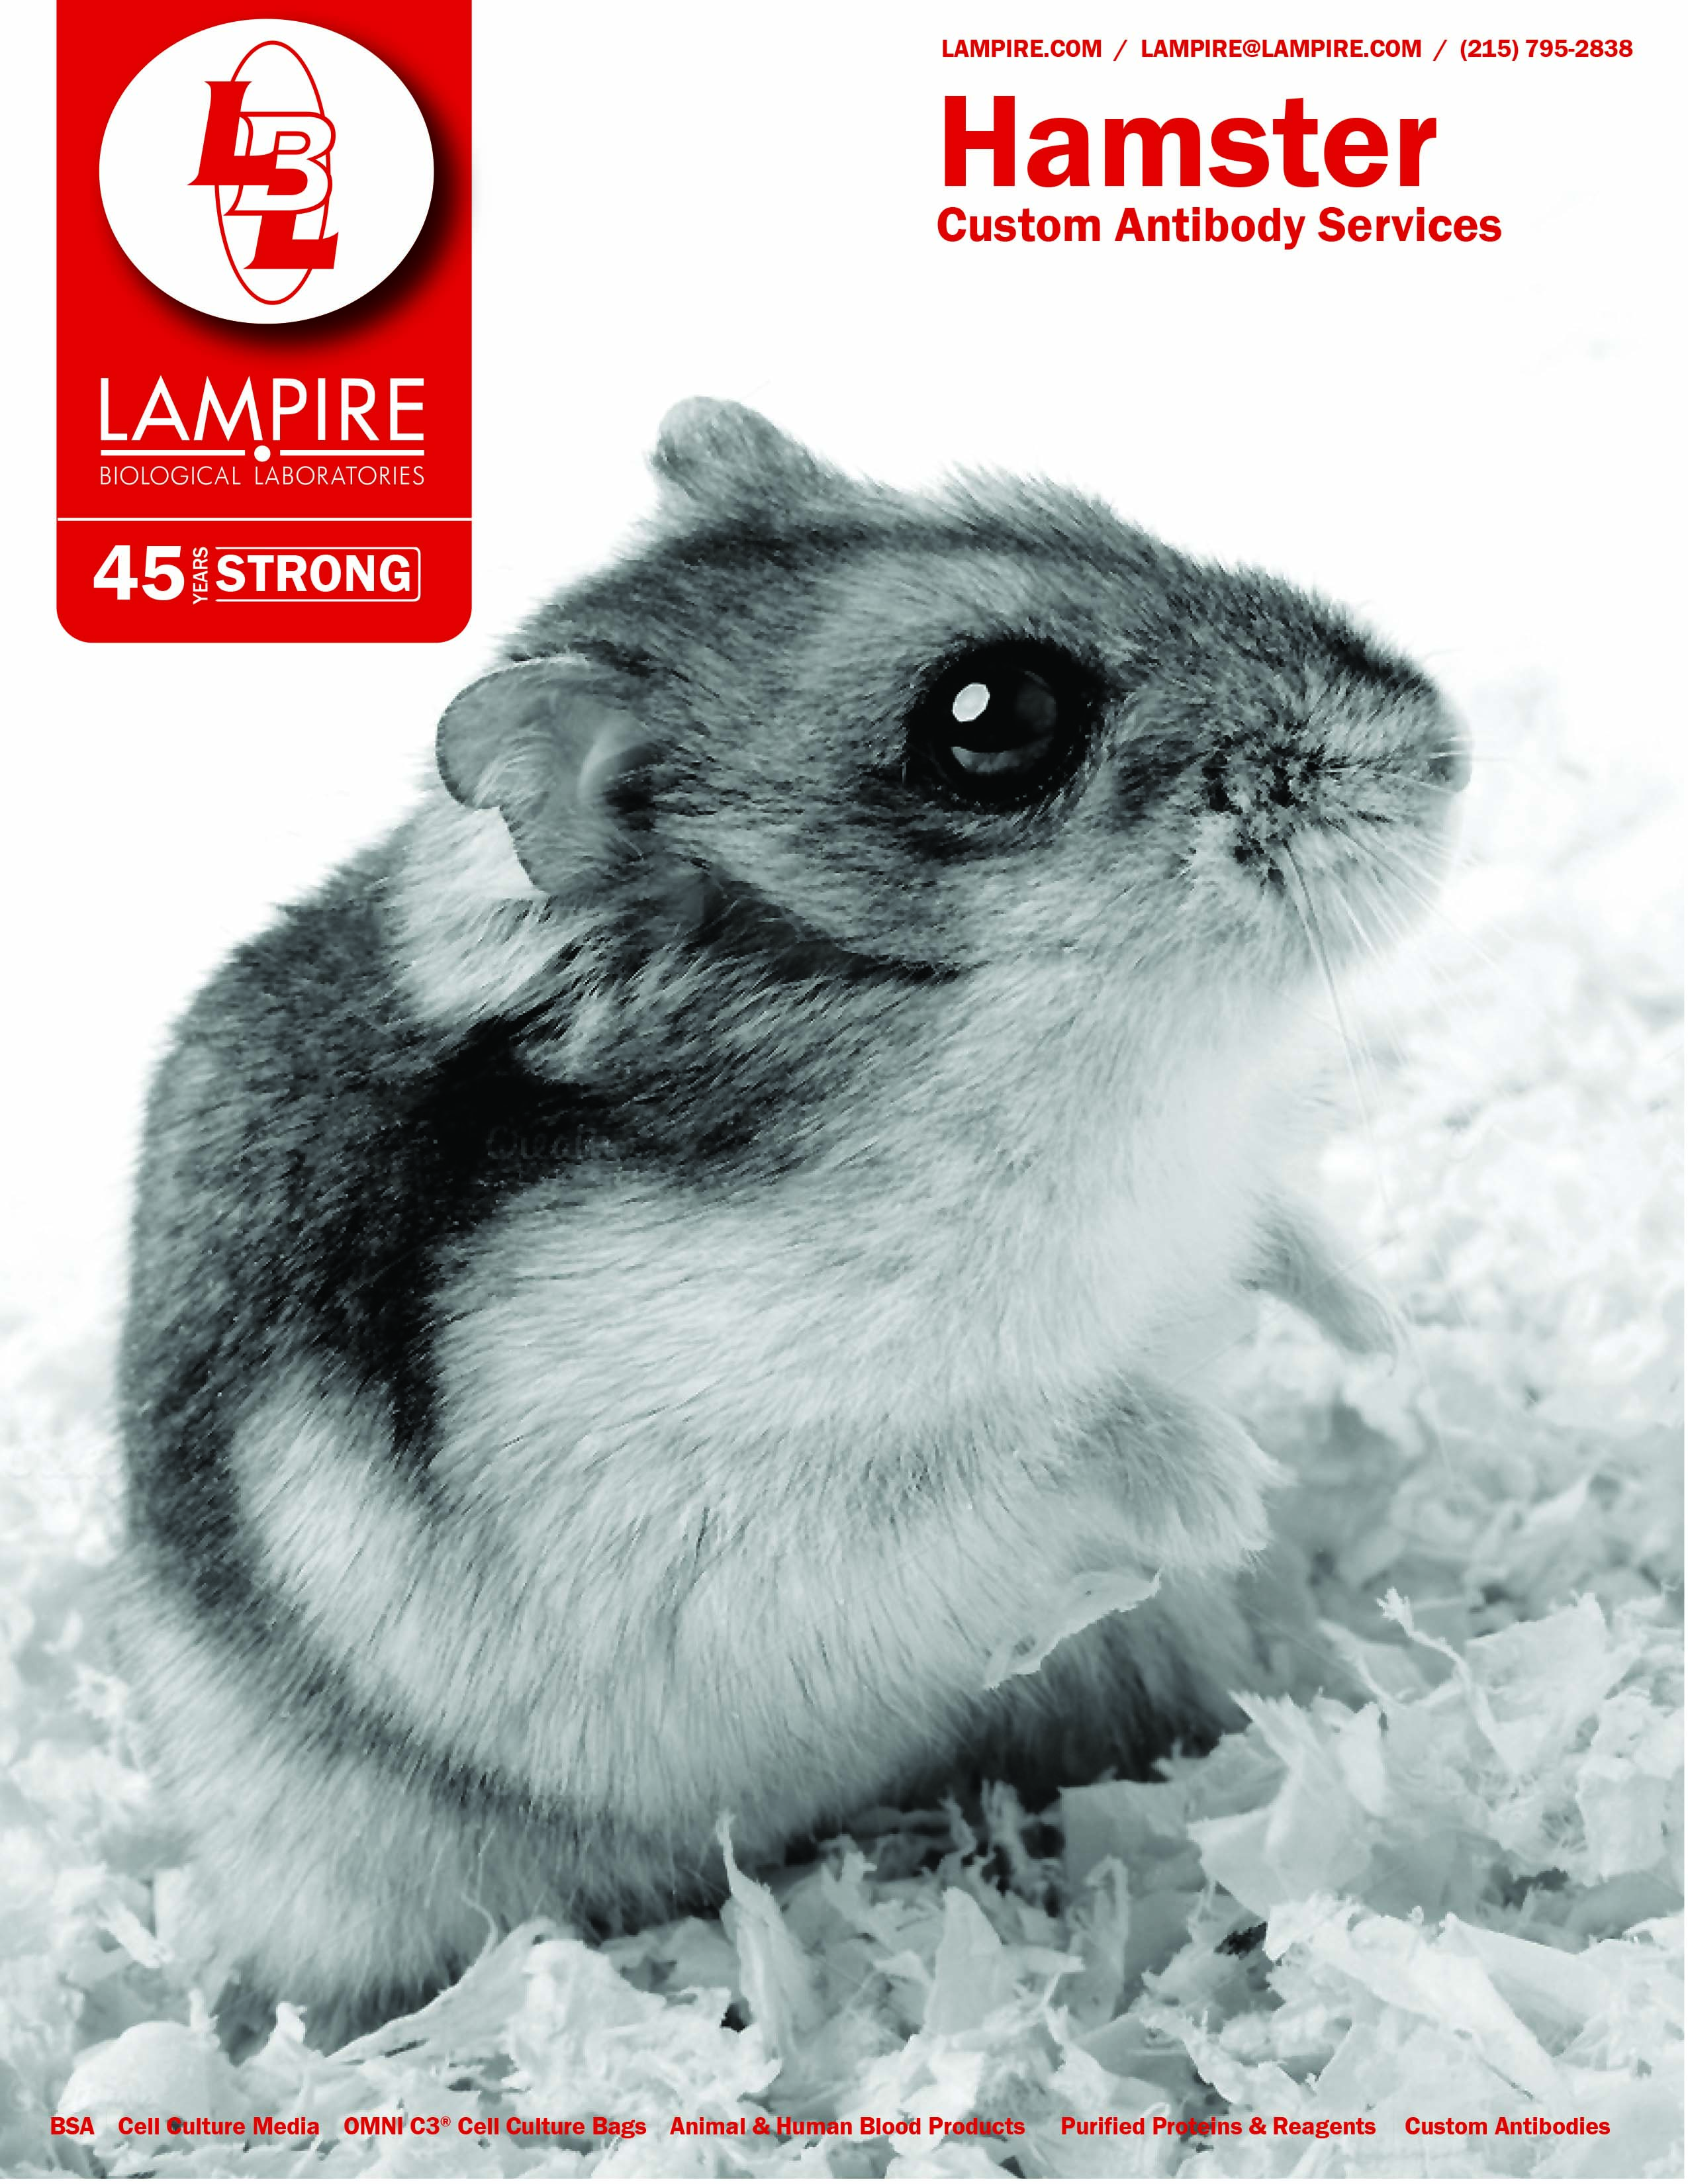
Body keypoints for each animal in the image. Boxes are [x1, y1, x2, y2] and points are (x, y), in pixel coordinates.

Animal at [116, 399, 1467, 2042]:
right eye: (992, 716)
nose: (1448, 743)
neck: (1095, 1056)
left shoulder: (1220, 1196)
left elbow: (1285, 1232)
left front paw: (1387, 1343)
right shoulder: (719, 1499)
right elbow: (1041, 1439)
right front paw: (1235, 1484)